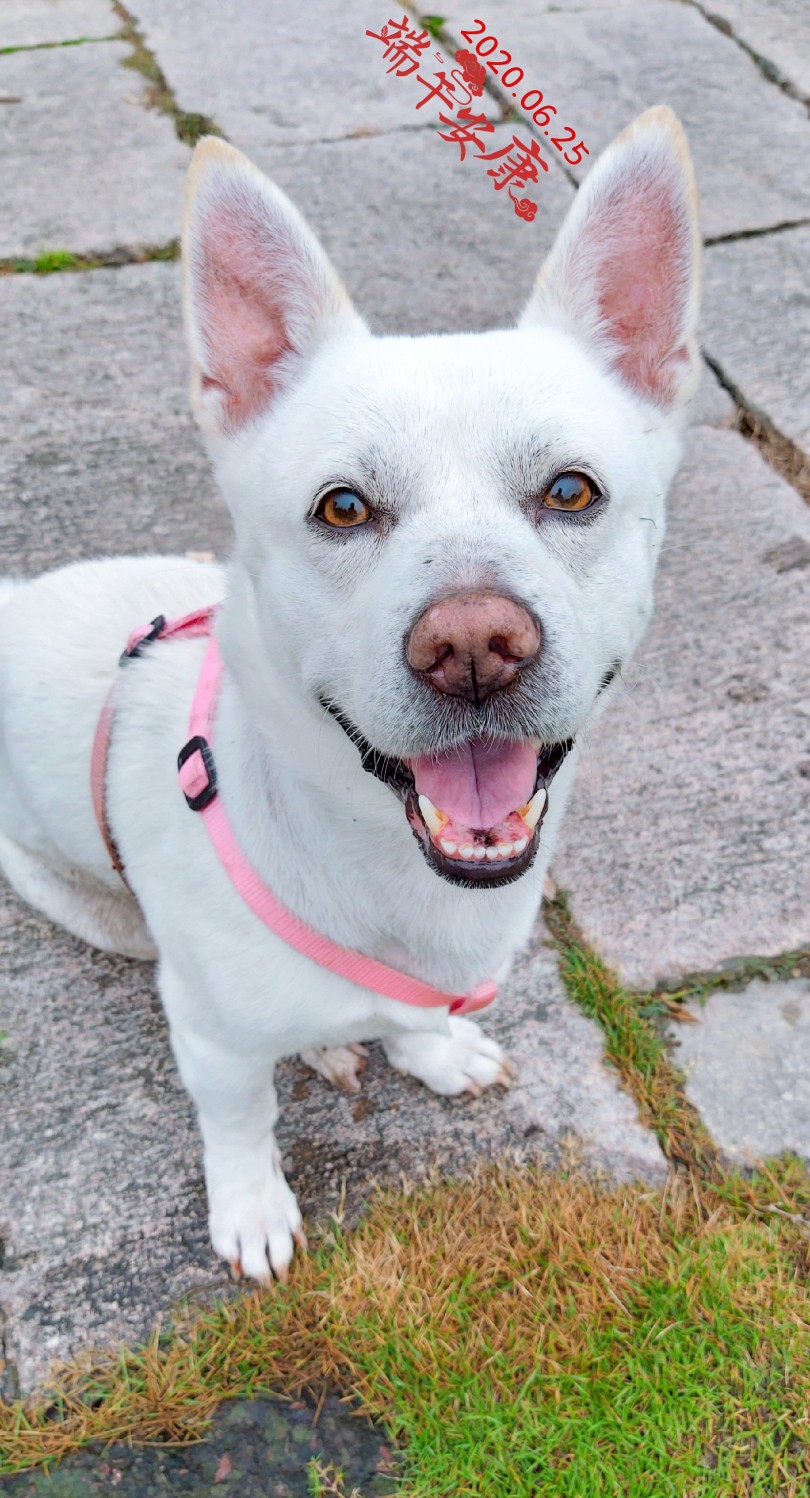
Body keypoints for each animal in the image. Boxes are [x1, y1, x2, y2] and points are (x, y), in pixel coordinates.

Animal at [0, 110, 694, 1288]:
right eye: (342, 507)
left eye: (572, 491)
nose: (474, 648)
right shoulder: (210, 1039)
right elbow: (238, 1120)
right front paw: (251, 1210)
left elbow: (407, 1019)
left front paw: (429, 1049)